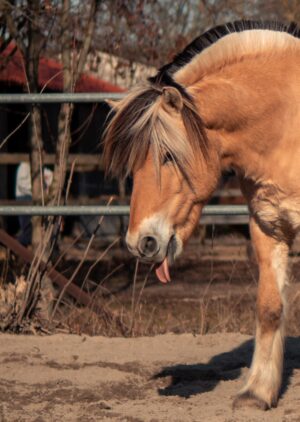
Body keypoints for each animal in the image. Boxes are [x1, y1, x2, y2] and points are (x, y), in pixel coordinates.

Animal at [103, 20, 300, 408]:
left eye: (168, 155)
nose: (141, 242)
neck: (288, 122)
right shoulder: (268, 228)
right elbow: (269, 308)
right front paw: (257, 392)